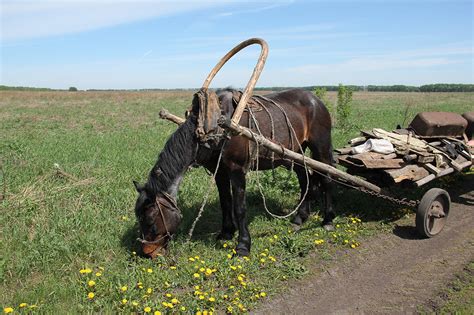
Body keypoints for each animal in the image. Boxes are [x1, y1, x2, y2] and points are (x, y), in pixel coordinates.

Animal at [132, 87, 334, 258]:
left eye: (150, 222)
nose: (148, 253)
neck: (213, 126)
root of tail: (316, 99)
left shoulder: (237, 171)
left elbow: (239, 208)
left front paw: (243, 245)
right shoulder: (219, 172)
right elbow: (225, 202)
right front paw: (226, 232)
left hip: (320, 148)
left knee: (327, 179)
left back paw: (328, 220)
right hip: (294, 154)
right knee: (305, 179)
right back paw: (300, 217)